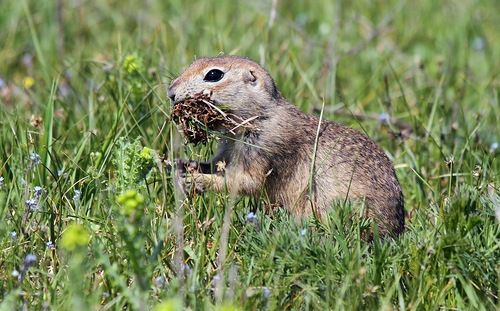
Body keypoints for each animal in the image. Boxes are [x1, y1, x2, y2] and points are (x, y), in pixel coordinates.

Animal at [170, 55, 404, 236]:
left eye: (213, 75)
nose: (170, 92)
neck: (260, 116)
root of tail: (396, 231)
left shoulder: (265, 148)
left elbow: (245, 181)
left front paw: (197, 179)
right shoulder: (227, 149)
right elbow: (215, 164)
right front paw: (182, 165)